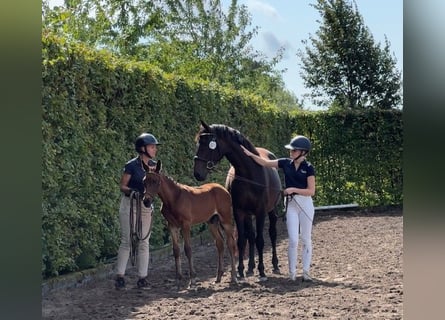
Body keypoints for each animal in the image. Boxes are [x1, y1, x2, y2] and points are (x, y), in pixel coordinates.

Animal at [144, 160, 238, 288]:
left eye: (155, 181)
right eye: (144, 181)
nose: (146, 201)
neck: (174, 198)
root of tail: (224, 189)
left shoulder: (186, 225)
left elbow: (188, 249)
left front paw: (192, 279)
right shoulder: (172, 226)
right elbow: (176, 250)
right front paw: (178, 278)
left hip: (226, 220)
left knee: (231, 244)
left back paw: (233, 277)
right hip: (212, 222)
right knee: (219, 243)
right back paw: (218, 277)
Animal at [192, 121, 280, 282]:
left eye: (208, 144)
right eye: (198, 142)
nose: (197, 173)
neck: (248, 173)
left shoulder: (260, 212)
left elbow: (260, 240)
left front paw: (262, 271)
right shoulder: (239, 211)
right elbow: (241, 241)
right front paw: (240, 271)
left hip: (271, 210)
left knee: (272, 233)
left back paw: (275, 264)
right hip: (248, 214)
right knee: (250, 236)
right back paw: (250, 267)